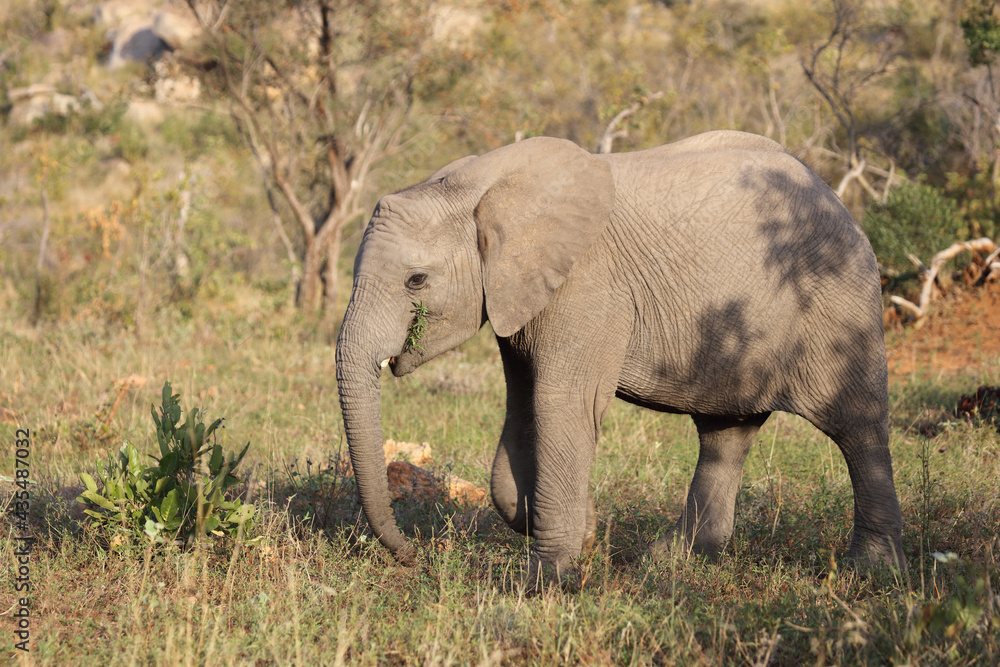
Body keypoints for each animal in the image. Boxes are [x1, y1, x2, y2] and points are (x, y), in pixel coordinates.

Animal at [335, 130, 906, 583]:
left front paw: (545, 580)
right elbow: (522, 413)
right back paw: (674, 562)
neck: (477, 185)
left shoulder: (587, 287)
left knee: (857, 428)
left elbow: (561, 404)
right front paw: (584, 531)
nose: (414, 556)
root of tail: (833, 195)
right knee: (726, 434)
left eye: (416, 280)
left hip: (839, 303)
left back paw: (870, 571)